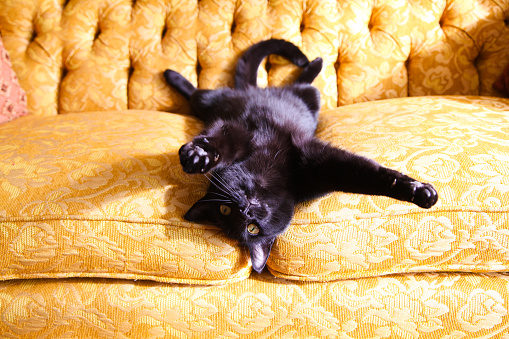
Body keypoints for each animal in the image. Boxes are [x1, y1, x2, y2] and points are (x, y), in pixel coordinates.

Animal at [165, 39, 438, 274]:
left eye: (225, 210)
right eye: (249, 228)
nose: (245, 210)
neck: (267, 175)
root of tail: (252, 89)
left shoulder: (297, 155)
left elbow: (367, 175)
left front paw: (420, 192)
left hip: (249, 99)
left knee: (201, 93)